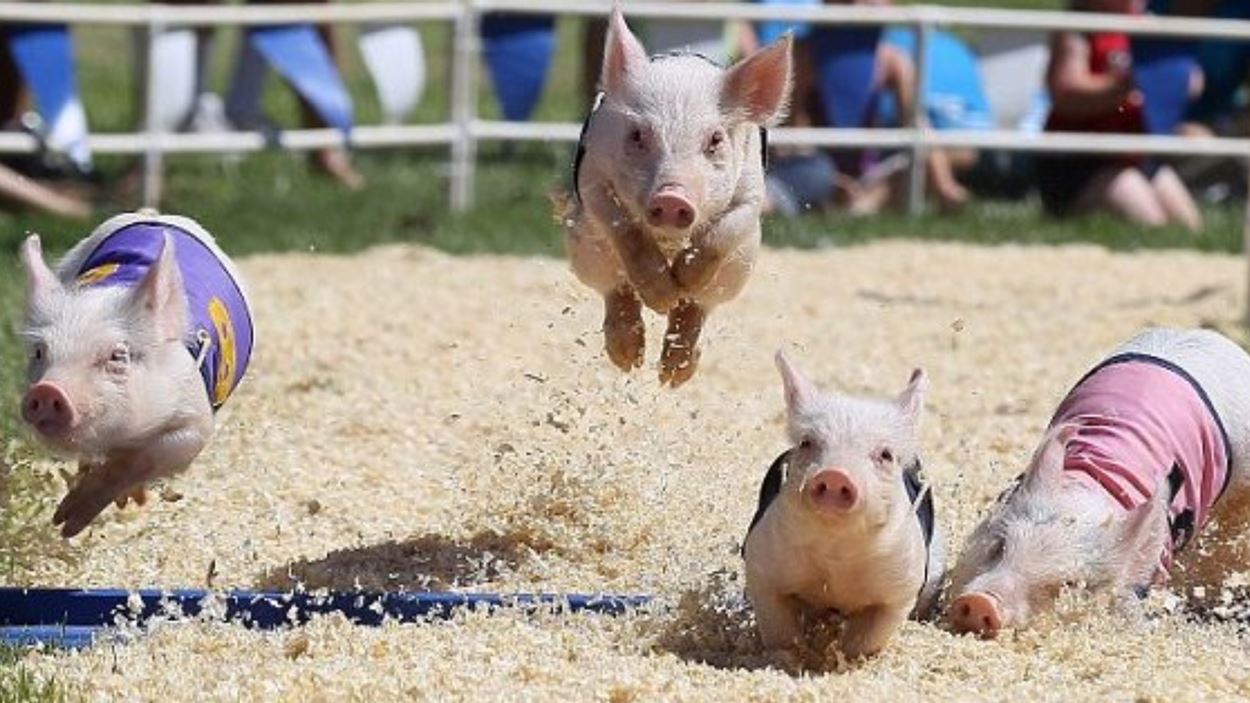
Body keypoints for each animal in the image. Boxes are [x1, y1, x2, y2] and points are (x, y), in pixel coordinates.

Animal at [19, 211, 254, 537]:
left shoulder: (195, 416)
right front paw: (62, 522)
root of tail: (154, 215)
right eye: (40, 352)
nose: (47, 390)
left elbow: (151, 455)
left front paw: (69, 522)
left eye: (118, 355)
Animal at [563, 8, 792, 387]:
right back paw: (629, 359)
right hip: (585, 250)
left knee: (699, 307)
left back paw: (674, 374)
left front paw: (683, 282)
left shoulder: (752, 193)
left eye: (715, 139)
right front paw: (662, 297)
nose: (672, 197)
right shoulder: (592, 176)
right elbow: (624, 228)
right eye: (638, 135)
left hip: (739, 267)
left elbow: (723, 231)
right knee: (615, 288)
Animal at [742, 351, 944, 658]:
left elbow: (868, 638)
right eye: (807, 443)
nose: (835, 475)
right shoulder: (761, 563)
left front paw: (845, 658)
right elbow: (779, 630)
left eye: (885, 454)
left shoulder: (900, 585)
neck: (836, 554)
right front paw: (788, 659)